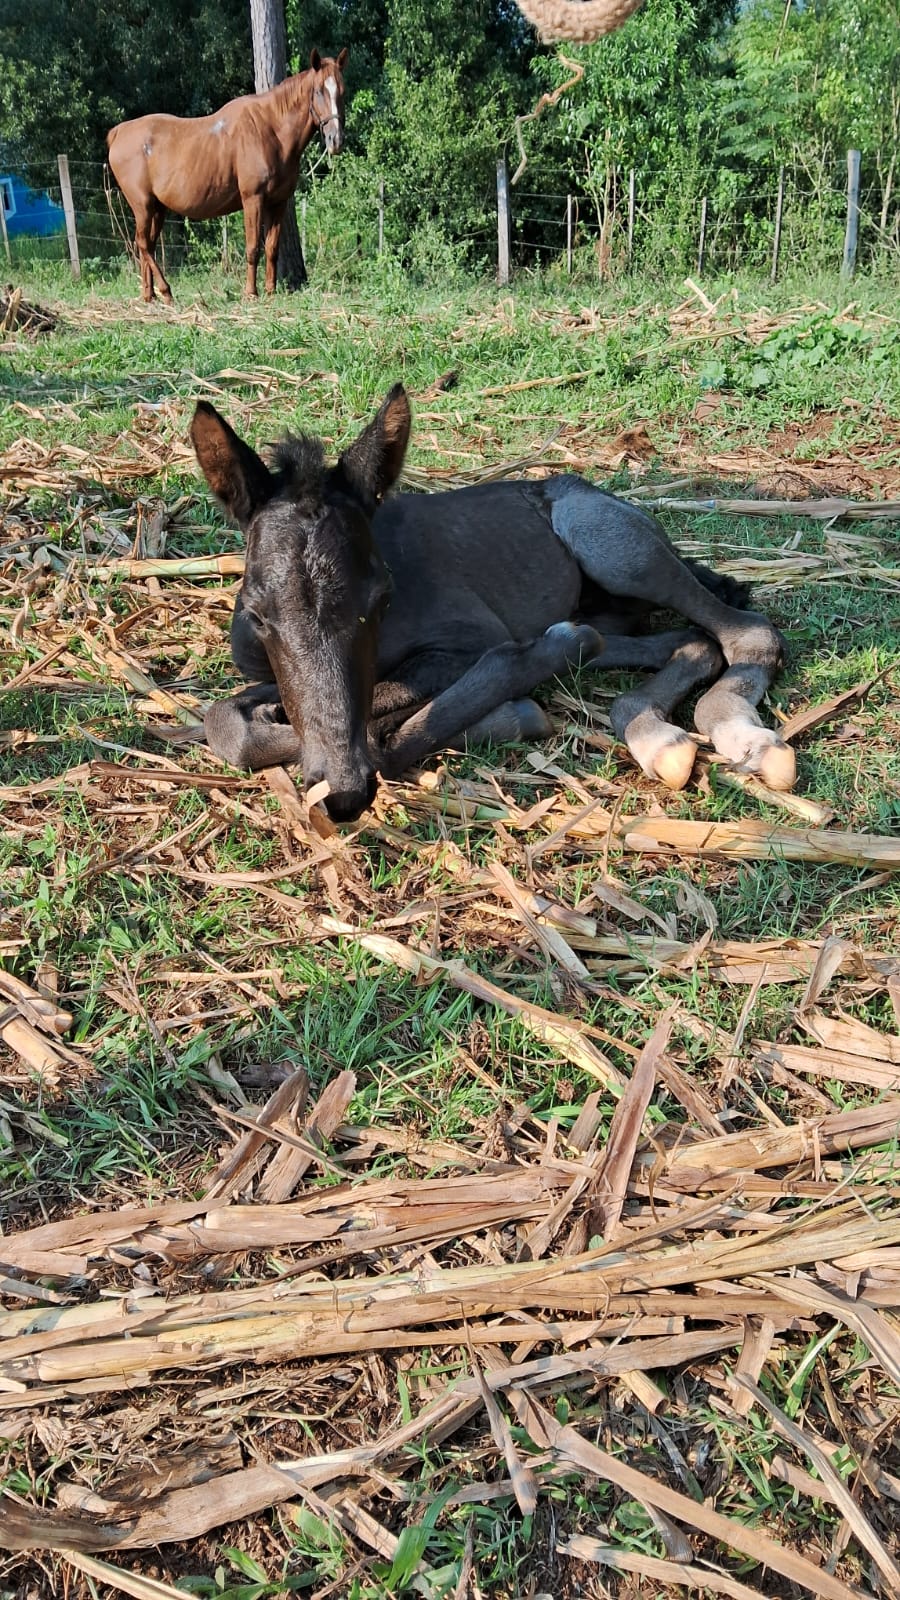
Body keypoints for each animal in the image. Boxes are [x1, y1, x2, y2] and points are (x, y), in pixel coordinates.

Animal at [108, 48, 347, 302]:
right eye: (319, 91)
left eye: (342, 91)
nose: (336, 140)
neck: (271, 130)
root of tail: (119, 132)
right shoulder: (253, 199)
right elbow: (253, 247)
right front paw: (251, 292)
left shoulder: (278, 202)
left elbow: (272, 247)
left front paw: (270, 291)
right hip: (142, 205)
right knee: (143, 243)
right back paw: (165, 291)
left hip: (157, 208)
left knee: (148, 245)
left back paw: (149, 295)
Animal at [188, 388, 791, 825]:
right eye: (258, 614)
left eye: (382, 599)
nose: (343, 794)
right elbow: (228, 724)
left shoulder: (470, 638)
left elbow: (380, 728)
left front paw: (511, 709)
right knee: (683, 641)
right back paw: (655, 734)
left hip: (607, 541)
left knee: (746, 632)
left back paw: (743, 736)